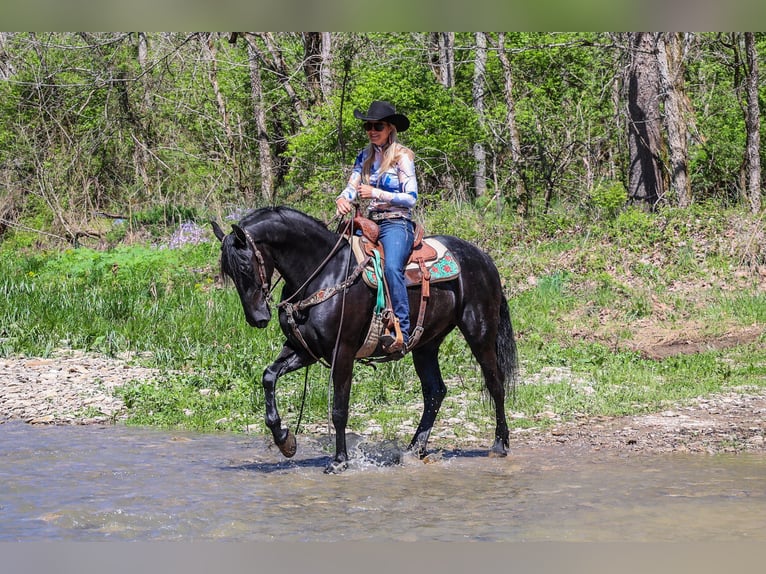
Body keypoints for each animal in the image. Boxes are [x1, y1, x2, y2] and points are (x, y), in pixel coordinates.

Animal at [213, 207, 520, 476]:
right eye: (230, 273)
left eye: (245, 266)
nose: (257, 318)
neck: (324, 273)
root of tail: (483, 258)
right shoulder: (304, 349)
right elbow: (269, 376)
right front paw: (284, 440)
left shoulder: (342, 352)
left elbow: (339, 409)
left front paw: (339, 461)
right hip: (426, 345)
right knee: (435, 391)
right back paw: (414, 449)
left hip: (479, 332)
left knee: (495, 383)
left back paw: (499, 444)